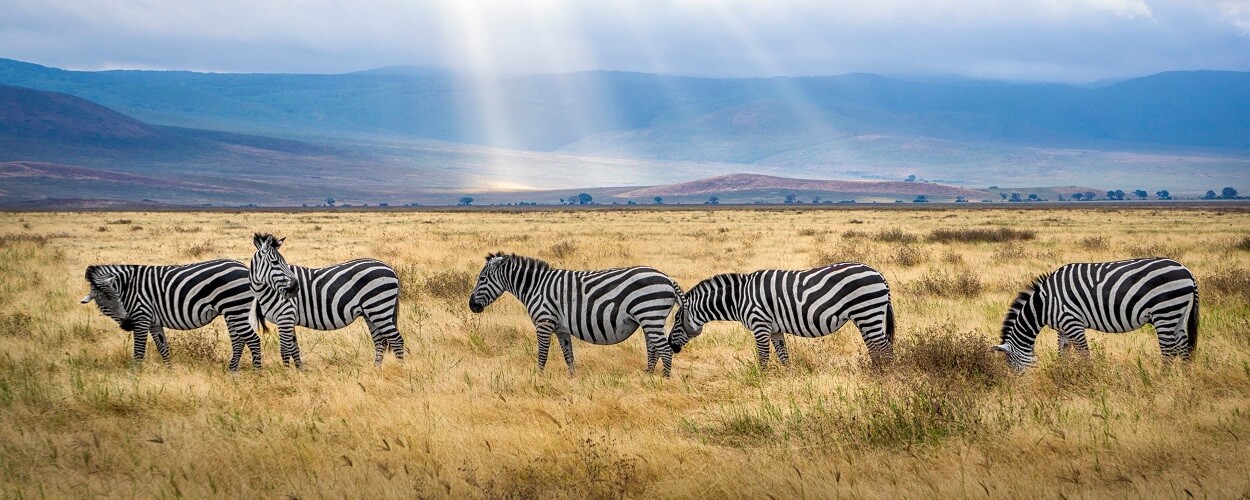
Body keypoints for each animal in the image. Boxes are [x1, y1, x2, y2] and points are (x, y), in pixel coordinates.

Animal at [80, 260, 261, 370]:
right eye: (104, 305)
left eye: (118, 298)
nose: (127, 324)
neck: (128, 287)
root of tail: (244, 267)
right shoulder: (153, 322)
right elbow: (163, 347)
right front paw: (169, 370)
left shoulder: (141, 316)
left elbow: (139, 351)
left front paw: (135, 375)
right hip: (232, 312)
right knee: (238, 341)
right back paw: (232, 370)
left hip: (235, 309)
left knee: (253, 340)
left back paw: (257, 373)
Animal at [251, 233, 407, 367]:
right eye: (275, 262)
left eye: (282, 262)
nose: (295, 288)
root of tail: (390, 268)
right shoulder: (289, 319)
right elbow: (294, 348)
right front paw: (300, 372)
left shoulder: (285, 316)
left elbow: (285, 350)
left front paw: (287, 374)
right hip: (371, 313)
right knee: (380, 341)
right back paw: (376, 370)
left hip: (379, 308)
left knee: (397, 340)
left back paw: (400, 368)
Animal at [470, 252, 685, 377]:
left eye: (482, 278)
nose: (471, 305)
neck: (535, 287)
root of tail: (668, 278)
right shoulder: (561, 328)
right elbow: (568, 355)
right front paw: (571, 379)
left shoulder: (544, 322)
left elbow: (542, 354)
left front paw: (538, 378)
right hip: (649, 319)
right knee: (653, 349)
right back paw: (647, 376)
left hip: (650, 314)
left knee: (665, 350)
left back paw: (664, 381)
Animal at [670, 263, 895, 370]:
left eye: (676, 320)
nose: (671, 346)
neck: (739, 298)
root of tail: (878, 273)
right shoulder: (775, 330)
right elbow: (783, 356)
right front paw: (789, 378)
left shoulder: (760, 325)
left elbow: (763, 356)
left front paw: (761, 380)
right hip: (865, 317)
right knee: (874, 346)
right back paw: (875, 371)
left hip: (867, 311)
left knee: (885, 347)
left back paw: (887, 374)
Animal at [995, 257, 1200, 370]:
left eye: (1011, 365)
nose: (1018, 388)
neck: (1044, 304)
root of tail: (1187, 271)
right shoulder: (1062, 328)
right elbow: (1063, 353)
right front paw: (1062, 374)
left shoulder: (1072, 322)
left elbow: (1084, 354)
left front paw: (1090, 379)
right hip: (1178, 314)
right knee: (1183, 348)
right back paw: (1185, 381)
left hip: (1164, 311)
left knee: (1169, 351)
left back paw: (1160, 380)